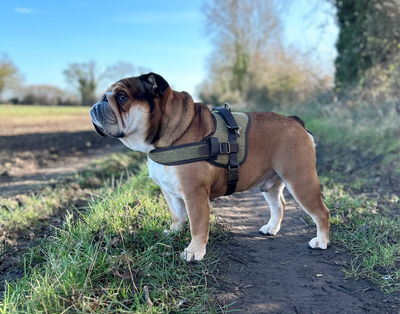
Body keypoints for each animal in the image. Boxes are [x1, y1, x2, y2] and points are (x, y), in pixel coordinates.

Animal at [91, 72, 332, 262]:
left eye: (122, 97)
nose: (98, 102)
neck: (165, 136)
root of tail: (295, 121)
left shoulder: (194, 194)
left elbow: (197, 225)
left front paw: (194, 252)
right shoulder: (168, 191)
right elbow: (177, 215)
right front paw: (172, 232)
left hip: (300, 180)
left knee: (321, 212)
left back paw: (321, 241)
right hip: (270, 184)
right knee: (278, 205)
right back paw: (271, 229)